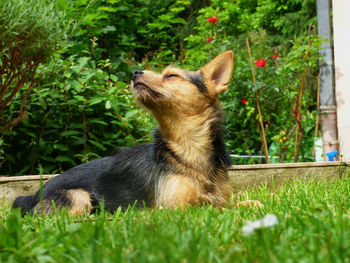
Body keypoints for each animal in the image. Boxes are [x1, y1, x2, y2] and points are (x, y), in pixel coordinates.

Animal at [12, 50, 235, 216]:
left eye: (171, 75)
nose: (134, 72)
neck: (187, 146)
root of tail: (31, 197)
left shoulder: (222, 201)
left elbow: (240, 204)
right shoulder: (174, 208)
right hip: (78, 196)